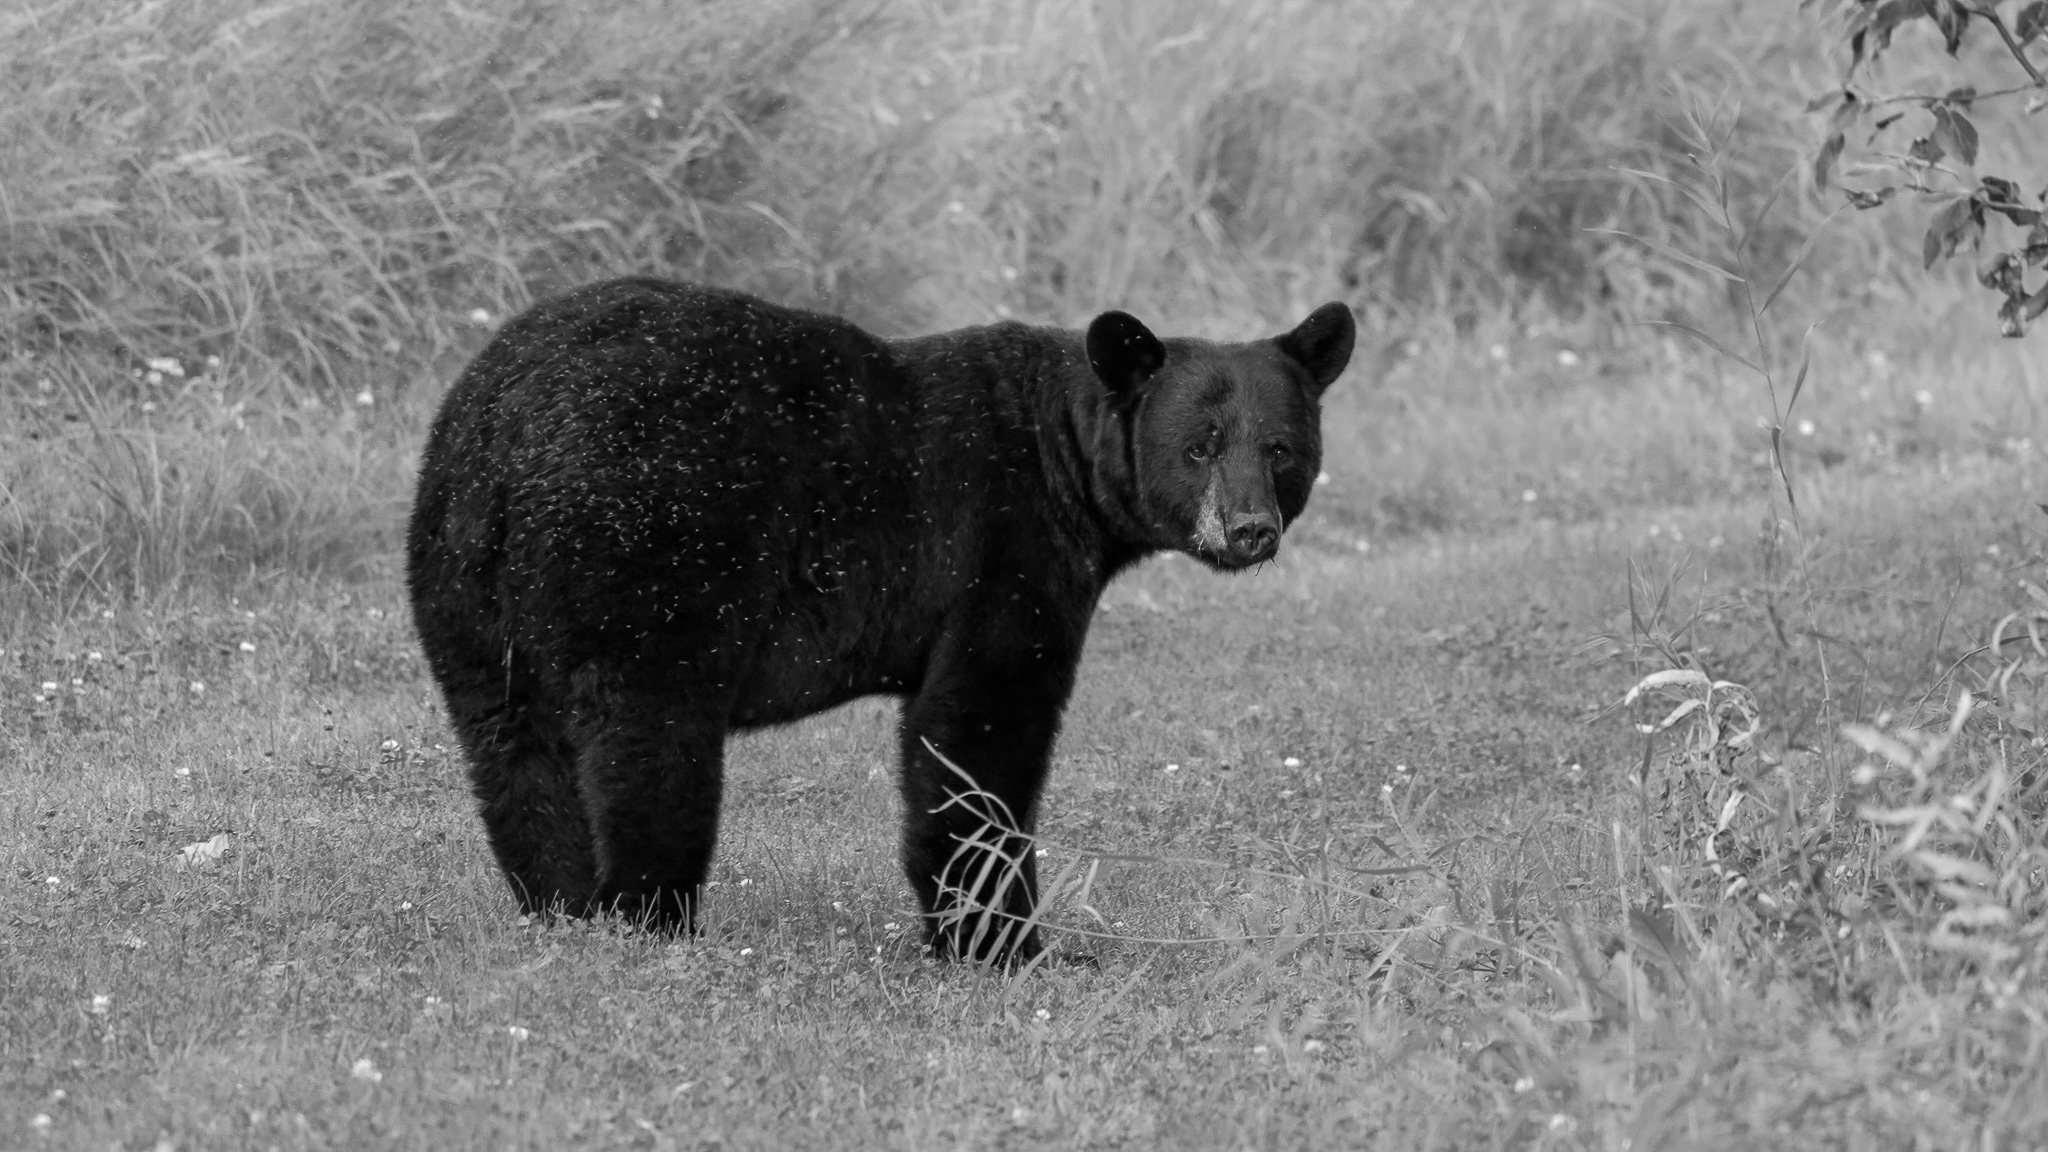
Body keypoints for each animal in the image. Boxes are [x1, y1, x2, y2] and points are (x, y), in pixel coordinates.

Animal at [405, 278, 1354, 963]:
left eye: (1280, 448)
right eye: (1199, 445)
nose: (1250, 529)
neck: (1060, 454)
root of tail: (510, 429)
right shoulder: (1002, 556)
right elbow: (976, 731)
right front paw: (1005, 945)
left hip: (464, 585)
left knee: (513, 753)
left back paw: (557, 907)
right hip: (647, 558)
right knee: (648, 746)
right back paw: (653, 919)